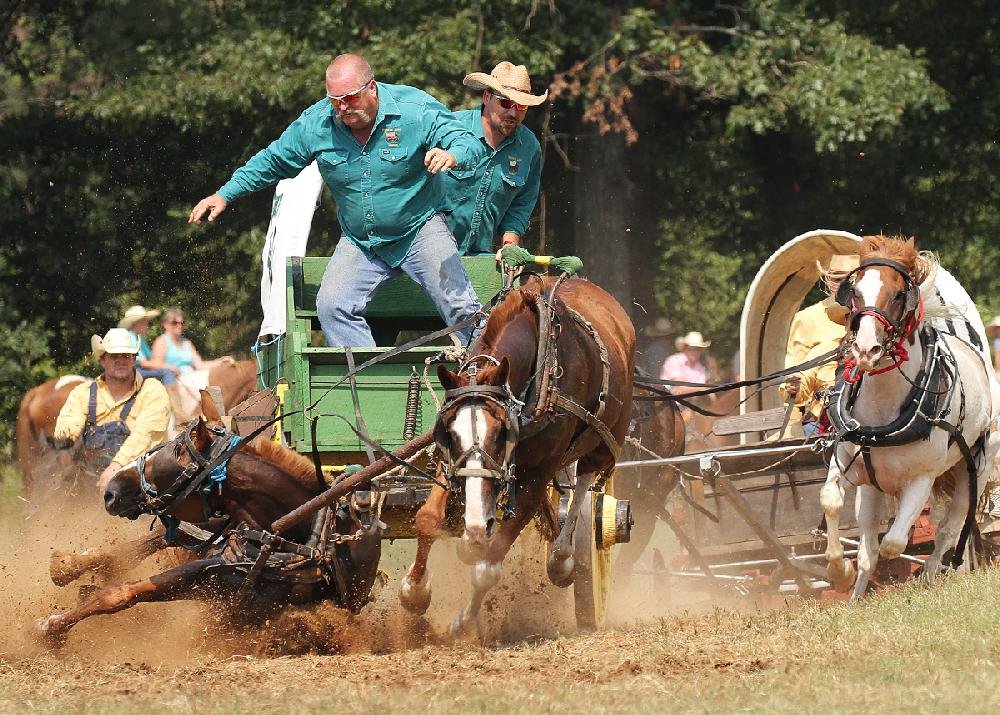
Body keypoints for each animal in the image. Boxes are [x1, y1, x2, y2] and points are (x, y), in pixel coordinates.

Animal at [37, 394, 380, 648]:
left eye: (177, 450)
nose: (111, 490)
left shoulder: (215, 587)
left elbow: (124, 593)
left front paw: (51, 628)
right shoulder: (209, 564)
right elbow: (126, 589)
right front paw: (54, 623)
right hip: (211, 524)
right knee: (152, 541)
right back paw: (68, 565)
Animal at [398, 276, 632, 636]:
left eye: (500, 432)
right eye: (450, 432)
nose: (475, 525)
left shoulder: (537, 474)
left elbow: (489, 567)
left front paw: (463, 622)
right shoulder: (449, 461)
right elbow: (428, 518)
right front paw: (414, 591)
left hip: (605, 442)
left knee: (584, 484)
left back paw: (561, 559)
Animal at [820, 235, 1000, 600]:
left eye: (899, 294)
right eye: (855, 291)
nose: (866, 350)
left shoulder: (921, 480)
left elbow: (894, 543)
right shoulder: (846, 462)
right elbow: (832, 503)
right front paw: (840, 572)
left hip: (972, 472)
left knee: (947, 531)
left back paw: (931, 577)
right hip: (871, 487)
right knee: (868, 543)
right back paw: (856, 596)